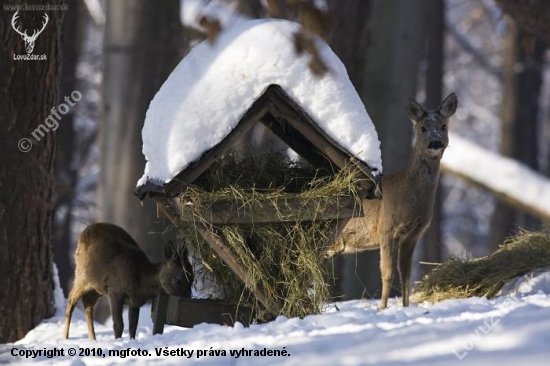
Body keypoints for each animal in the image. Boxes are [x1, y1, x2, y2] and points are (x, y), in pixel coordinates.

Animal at [63, 223, 193, 340]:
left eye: (192, 279)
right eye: (179, 280)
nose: (188, 298)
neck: (140, 282)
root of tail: (84, 232)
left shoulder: (135, 301)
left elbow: (133, 325)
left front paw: (131, 341)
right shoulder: (114, 291)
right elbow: (118, 324)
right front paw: (118, 341)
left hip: (98, 286)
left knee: (87, 302)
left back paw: (93, 339)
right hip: (81, 274)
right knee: (71, 298)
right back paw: (66, 337)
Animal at [328, 93, 458, 308]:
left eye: (443, 126)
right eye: (422, 128)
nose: (435, 143)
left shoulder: (413, 234)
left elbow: (405, 274)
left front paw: (405, 307)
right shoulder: (386, 228)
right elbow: (387, 273)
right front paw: (382, 308)